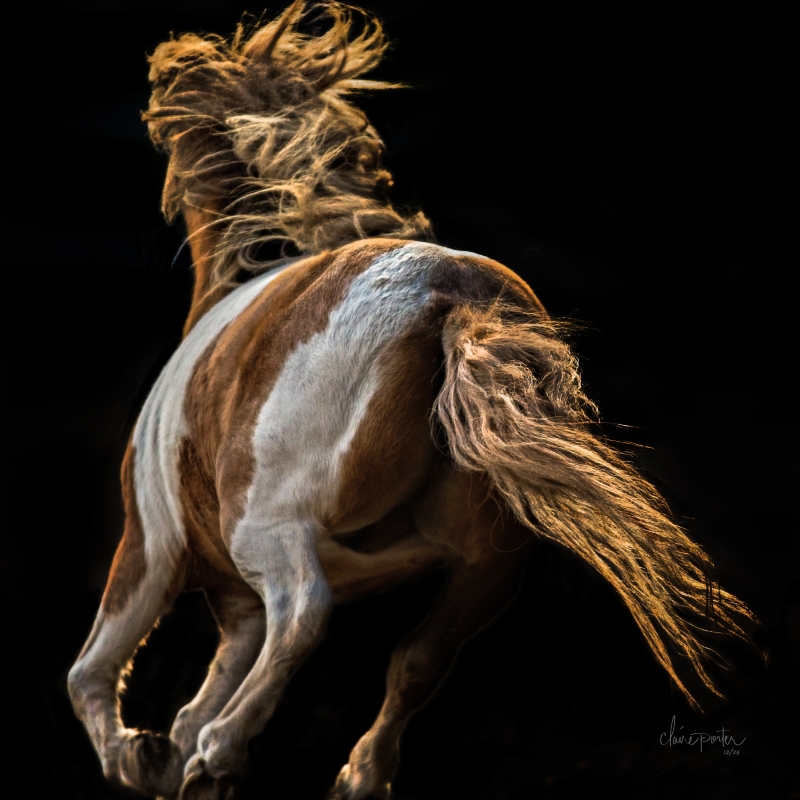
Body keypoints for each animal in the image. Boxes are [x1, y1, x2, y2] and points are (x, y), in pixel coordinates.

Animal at [67, 3, 753, 799]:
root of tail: (452, 299)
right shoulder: (238, 603)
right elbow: (214, 678)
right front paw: (171, 757)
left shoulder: (150, 545)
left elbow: (93, 672)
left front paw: (141, 757)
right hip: (488, 567)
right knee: (415, 661)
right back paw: (351, 776)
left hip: (269, 527)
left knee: (304, 611)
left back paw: (222, 752)